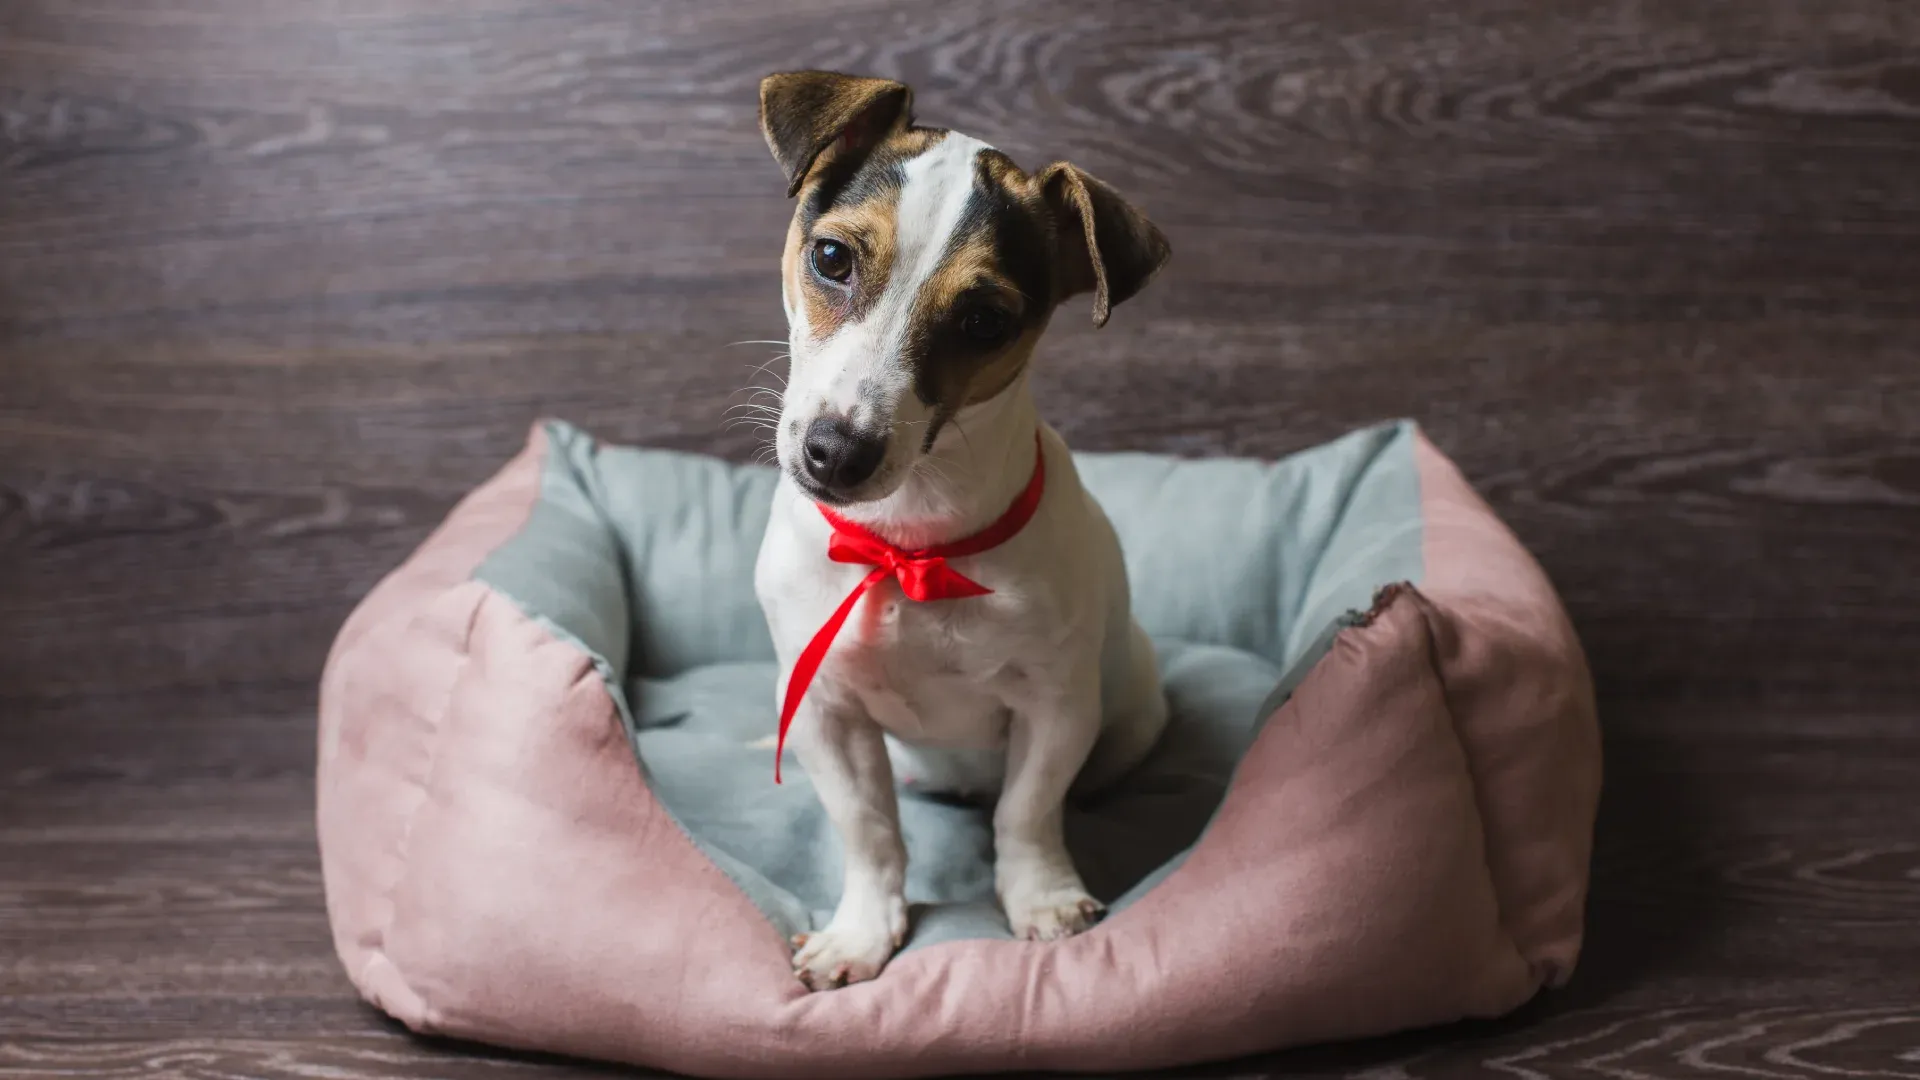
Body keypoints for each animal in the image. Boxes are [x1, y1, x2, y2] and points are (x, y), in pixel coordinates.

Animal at [756, 71, 1175, 991]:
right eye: (831, 258)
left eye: (985, 321)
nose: (835, 452)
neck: (908, 542)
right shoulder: (825, 711)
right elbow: (869, 829)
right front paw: (861, 932)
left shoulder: (1057, 706)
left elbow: (1028, 809)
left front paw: (1044, 898)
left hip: (1130, 713)